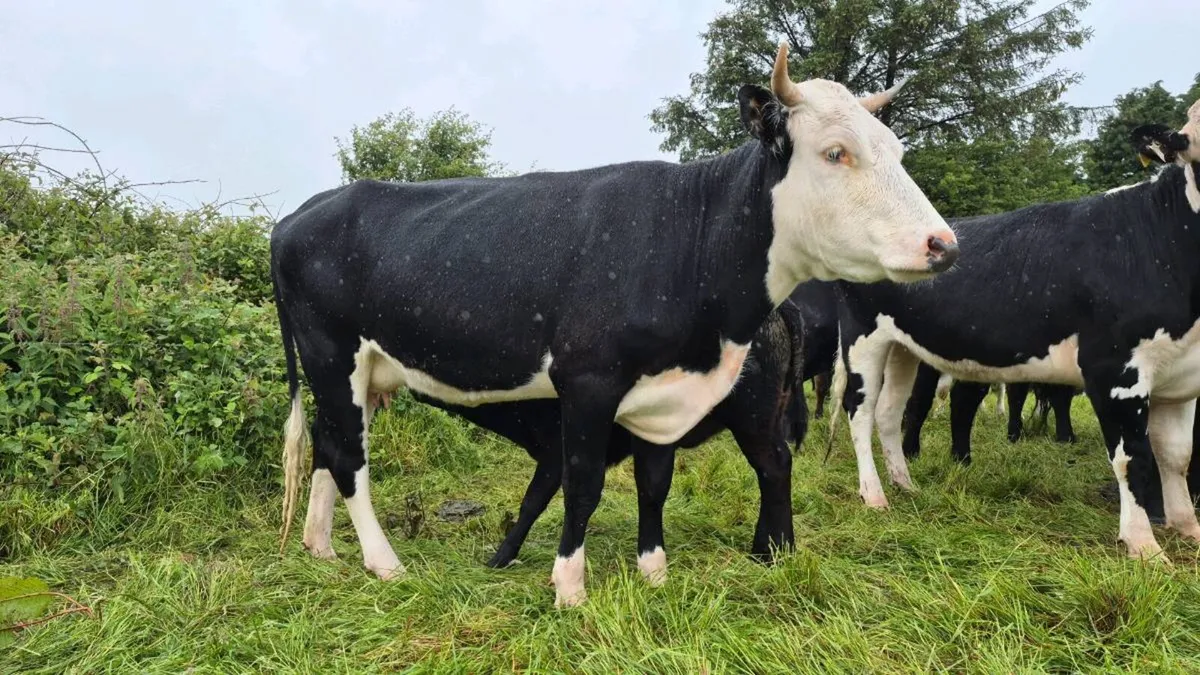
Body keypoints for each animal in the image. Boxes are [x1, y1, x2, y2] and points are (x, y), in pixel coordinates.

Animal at [423, 300, 806, 579]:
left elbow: (533, 502)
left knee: (775, 467)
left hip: (752, 418)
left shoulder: (558, 452)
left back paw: (774, 551)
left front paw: (501, 556)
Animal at [826, 101, 1200, 563]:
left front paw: (1188, 528)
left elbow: (1176, 457)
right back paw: (874, 495)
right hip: (863, 339)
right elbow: (1133, 458)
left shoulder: (1181, 377)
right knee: (859, 412)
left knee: (890, 412)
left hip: (903, 348)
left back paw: (905, 484)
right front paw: (1144, 546)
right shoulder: (1114, 370)